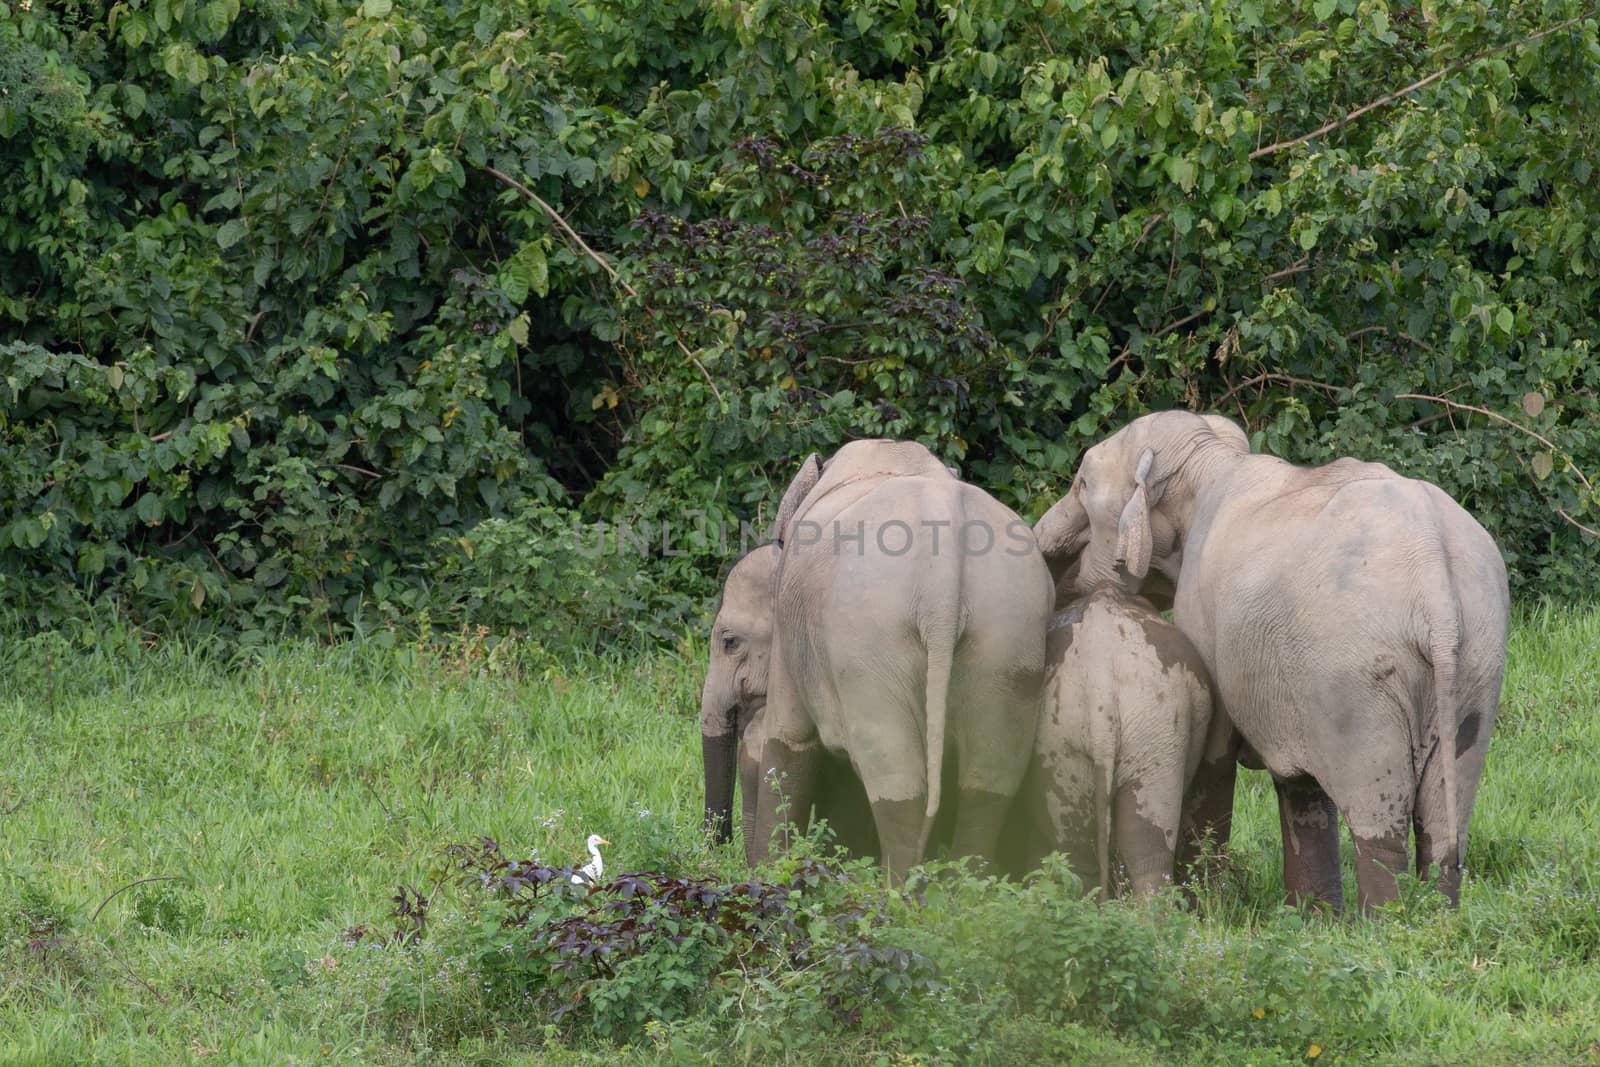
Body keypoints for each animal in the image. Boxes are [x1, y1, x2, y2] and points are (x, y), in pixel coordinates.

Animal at [697, 438, 1049, 883]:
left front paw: (771, 874)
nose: (716, 844)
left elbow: (789, 737)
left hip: (869, 648)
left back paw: (898, 890)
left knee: (896, 775)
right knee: (989, 779)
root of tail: (942, 580)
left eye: (729, 642)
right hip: (1009, 636)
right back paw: (965, 888)